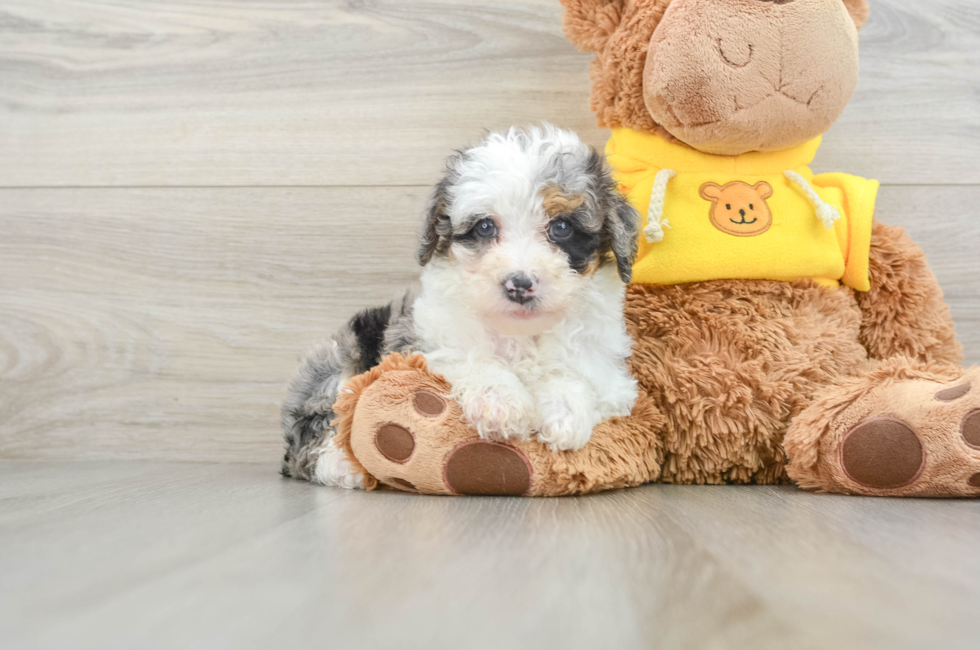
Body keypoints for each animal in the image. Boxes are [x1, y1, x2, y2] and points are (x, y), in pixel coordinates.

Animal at [280, 124, 640, 484]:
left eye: (562, 227)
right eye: (485, 226)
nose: (519, 284)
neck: (520, 334)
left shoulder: (611, 378)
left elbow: (576, 374)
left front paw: (565, 412)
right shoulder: (421, 341)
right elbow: (470, 355)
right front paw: (501, 402)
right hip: (341, 359)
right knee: (314, 432)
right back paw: (342, 465)